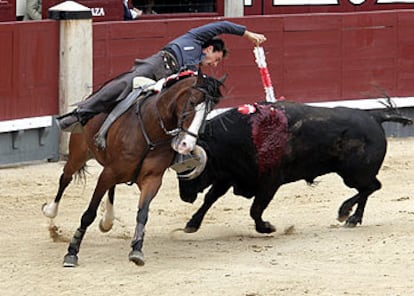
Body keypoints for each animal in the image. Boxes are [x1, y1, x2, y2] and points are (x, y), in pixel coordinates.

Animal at [59, 70, 225, 268]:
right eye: (192, 102)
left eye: (209, 111)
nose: (186, 145)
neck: (151, 130)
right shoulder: (108, 173)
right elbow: (89, 213)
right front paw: (72, 252)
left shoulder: (152, 179)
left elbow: (143, 213)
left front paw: (137, 250)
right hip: (79, 154)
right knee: (65, 178)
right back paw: (51, 213)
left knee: (110, 188)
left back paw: (107, 221)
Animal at [177, 101, 410, 234]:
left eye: (189, 170)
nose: (184, 197)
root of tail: (373, 116)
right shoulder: (229, 176)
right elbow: (210, 199)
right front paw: (192, 224)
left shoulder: (269, 183)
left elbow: (255, 209)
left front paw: (266, 228)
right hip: (355, 174)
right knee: (367, 189)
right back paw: (353, 219)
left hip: (354, 173)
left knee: (372, 187)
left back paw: (345, 212)